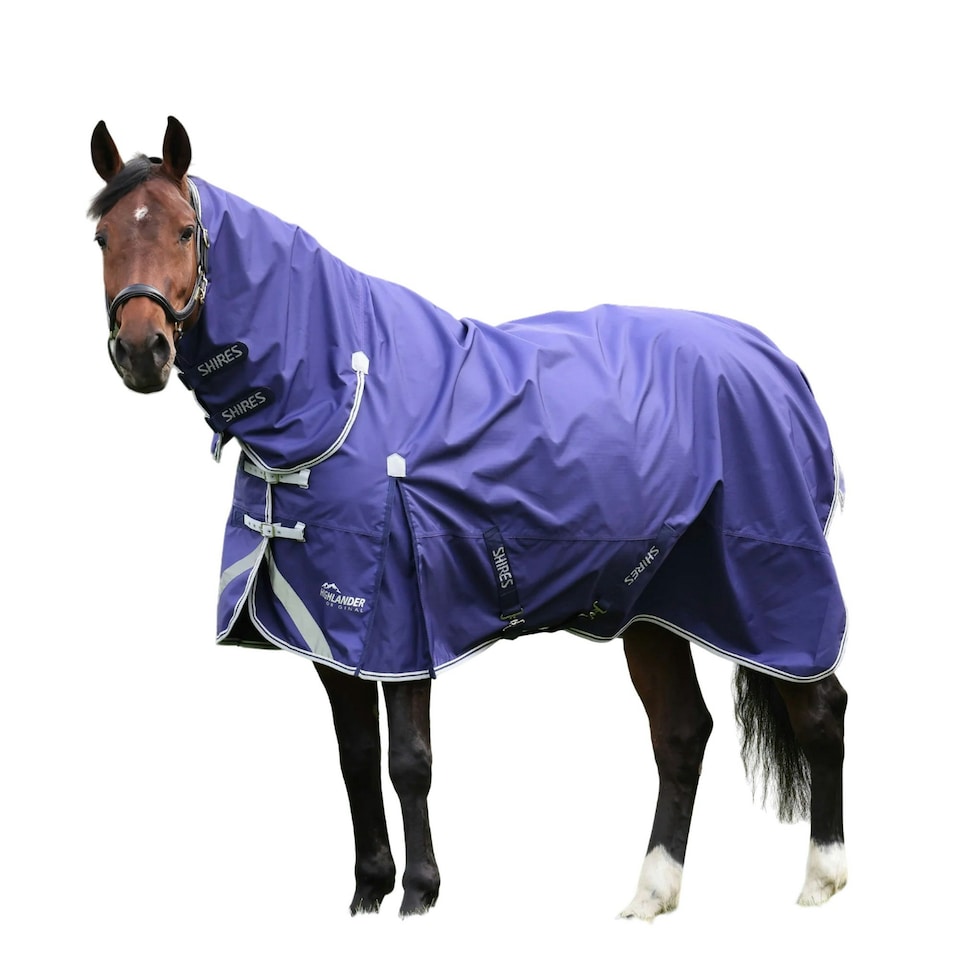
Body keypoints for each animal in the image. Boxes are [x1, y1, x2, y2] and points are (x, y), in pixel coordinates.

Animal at [88, 116, 848, 920]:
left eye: (184, 229)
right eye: (103, 235)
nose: (140, 350)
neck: (339, 393)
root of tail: (779, 366)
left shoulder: (402, 620)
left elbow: (408, 761)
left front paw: (420, 895)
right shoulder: (327, 629)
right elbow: (355, 757)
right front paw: (368, 893)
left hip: (776, 593)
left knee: (820, 709)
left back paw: (822, 878)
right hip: (655, 605)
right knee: (680, 732)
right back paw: (651, 894)